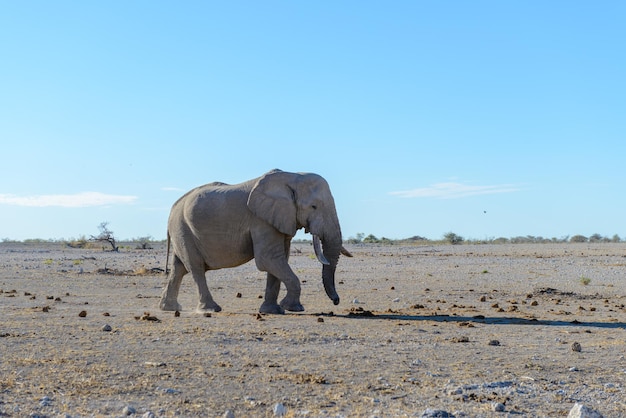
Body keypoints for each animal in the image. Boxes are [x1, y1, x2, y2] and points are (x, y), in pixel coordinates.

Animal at [158, 169, 352, 314]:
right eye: (313, 206)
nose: (336, 301)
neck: (292, 176)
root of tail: (173, 206)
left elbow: (279, 260)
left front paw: (272, 311)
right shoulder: (260, 220)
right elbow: (268, 259)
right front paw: (293, 308)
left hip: (182, 231)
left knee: (179, 268)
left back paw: (169, 308)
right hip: (183, 229)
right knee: (196, 268)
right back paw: (210, 309)